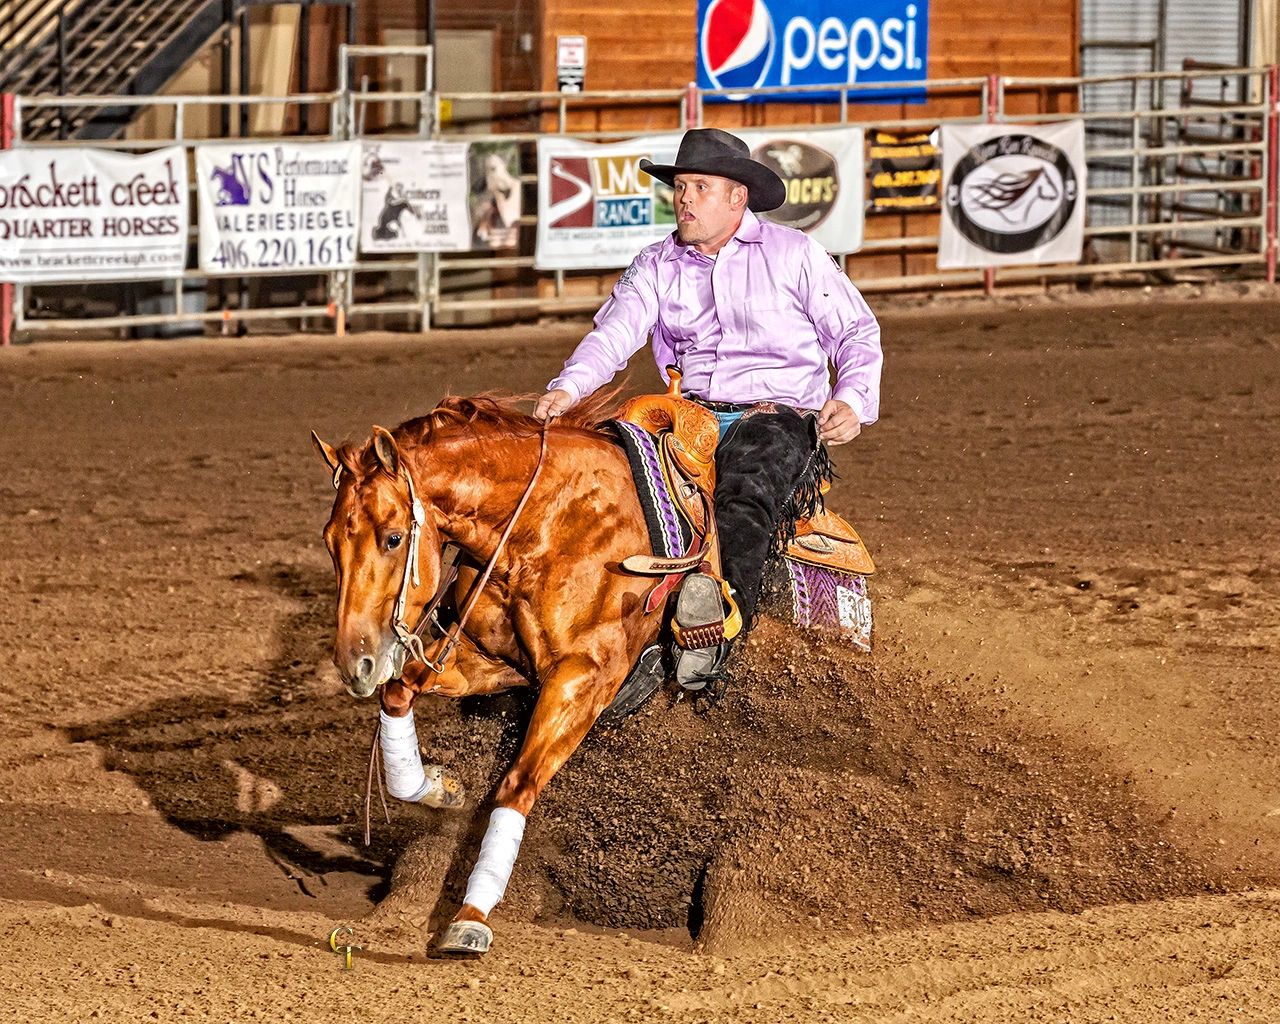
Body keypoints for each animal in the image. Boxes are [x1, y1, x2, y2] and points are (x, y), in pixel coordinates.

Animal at [311, 390, 661, 956]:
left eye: (393, 538)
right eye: (329, 541)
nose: (353, 664)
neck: (549, 527)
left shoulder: (584, 678)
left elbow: (517, 786)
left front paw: (471, 916)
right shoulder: (494, 660)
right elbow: (397, 693)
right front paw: (439, 787)